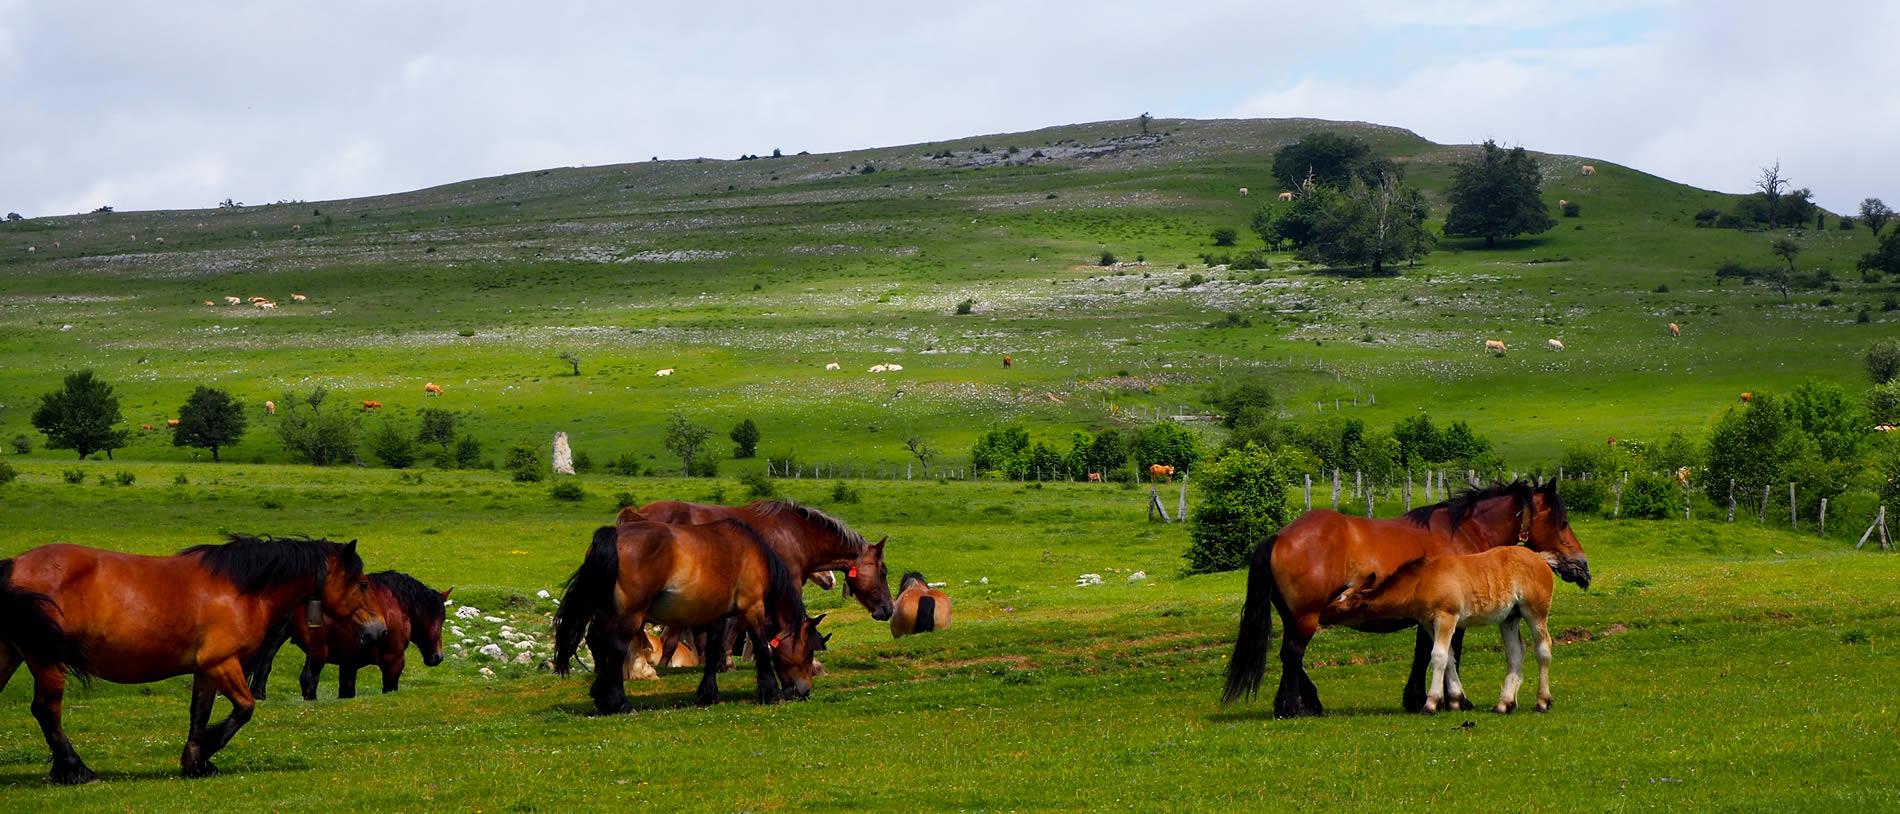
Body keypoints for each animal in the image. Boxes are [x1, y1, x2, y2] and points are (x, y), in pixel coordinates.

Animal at [0, 532, 385, 783]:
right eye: (363, 583)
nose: (379, 630)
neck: (242, 588)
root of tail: (13, 565)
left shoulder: (206, 670)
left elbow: (199, 714)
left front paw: (196, 762)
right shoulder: (223, 663)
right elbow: (244, 708)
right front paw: (206, 750)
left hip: (11, 656)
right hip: (47, 659)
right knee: (47, 711)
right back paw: (75, 769)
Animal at [248, 570, 452, 699]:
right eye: (441, 618)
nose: (438, 657)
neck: (394, 604)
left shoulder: (348, 664)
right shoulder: (394, 661)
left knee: (262, 672)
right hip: (317, 651)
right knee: (308, 679)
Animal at [543, 513, 824, 711]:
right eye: (808, 651)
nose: (805, 692)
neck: (753, 552)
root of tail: (615, 534)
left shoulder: (717, 617)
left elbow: (713, 652)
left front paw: (710, 695)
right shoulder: (752, 607)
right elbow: (762, 648)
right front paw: (772, 694)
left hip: (607, 611)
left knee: (596, 643)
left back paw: (601, 697)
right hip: (630, 615)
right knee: (616, 647)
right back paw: (620, 703)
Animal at [1330, 547, 1550, 711]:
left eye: (1342, 608)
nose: (1324, 612)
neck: (1421, 579)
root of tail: (1540, 559)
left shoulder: (1446, 617)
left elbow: (1438, 656)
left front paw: (1432, 703)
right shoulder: (1428, 623)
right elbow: (1449, 657)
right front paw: (1456, 700)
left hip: (1535, 611)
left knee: (1543, 649)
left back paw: (1542, 701)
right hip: (1509, 617)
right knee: (1515, 652)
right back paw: (1504, 704)